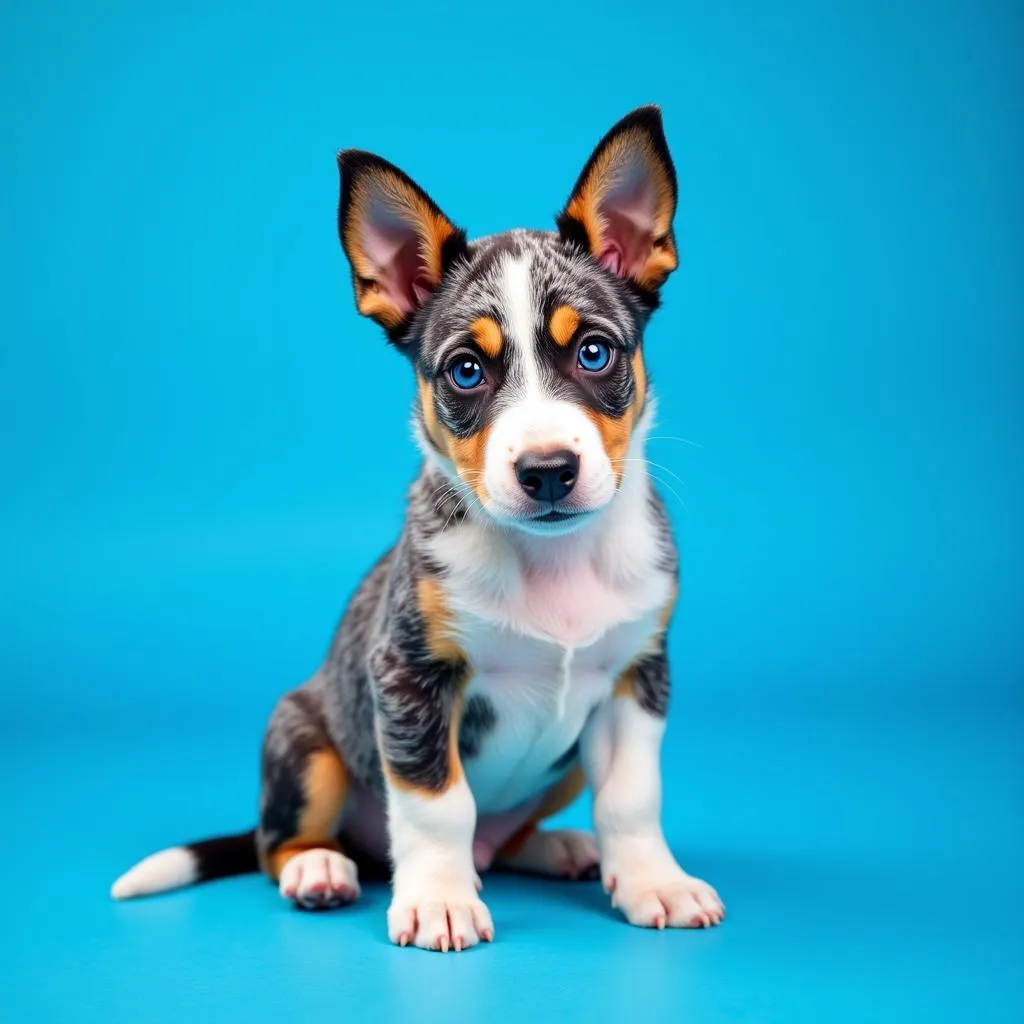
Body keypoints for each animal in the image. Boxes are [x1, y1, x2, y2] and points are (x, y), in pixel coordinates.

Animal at [110, 105, 720, 950]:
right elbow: (439, 805)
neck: (551, 563)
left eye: (595, 352)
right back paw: (320, 869)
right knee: (279, 844)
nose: (548, 470)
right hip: (304, 743)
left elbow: (632, 798)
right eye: (466, 370)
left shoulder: (637, 678)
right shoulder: (410, 677)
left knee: (503, 836)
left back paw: (556, 846)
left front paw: (653, 882)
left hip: (560, 765)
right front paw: (437, 899)